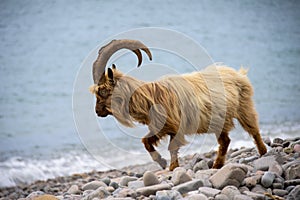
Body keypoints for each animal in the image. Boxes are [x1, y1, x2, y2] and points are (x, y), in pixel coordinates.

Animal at [89, 39, 268, 170]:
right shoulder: (162, 127)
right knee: (225, 141)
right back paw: (217, 165)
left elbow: (172, 147)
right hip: (220, 121)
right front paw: (163, 163)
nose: (97, 111)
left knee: (253, 129)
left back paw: (263, 152)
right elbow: (146, 142)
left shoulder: (174, 126)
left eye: (102, 91)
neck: (147, 97)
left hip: (244, 107)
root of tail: (238, 74)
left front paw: (172, 168)